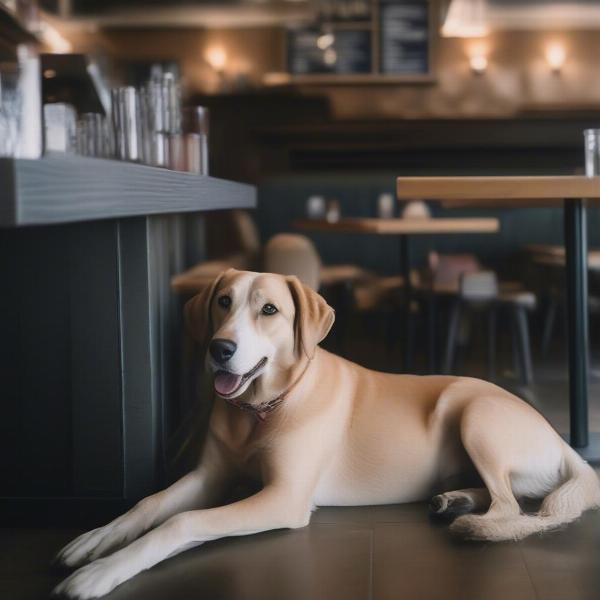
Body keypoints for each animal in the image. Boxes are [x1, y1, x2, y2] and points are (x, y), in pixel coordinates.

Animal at [54, 270, 600, 596]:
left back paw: (472, 520)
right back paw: (455, 498)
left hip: (475, 412)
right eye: (223, 302)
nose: (219, 348)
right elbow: (150, 505)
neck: (263, 408)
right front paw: (97, 539)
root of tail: (560, 438)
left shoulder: (284, 498)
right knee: (499, 496)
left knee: (509, 507)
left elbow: (182, 523)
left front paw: (101, 573)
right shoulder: (210, 476)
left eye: (269, 310)